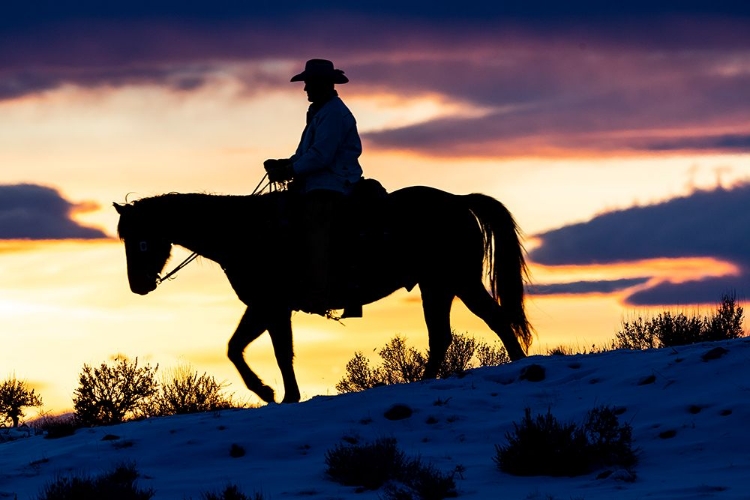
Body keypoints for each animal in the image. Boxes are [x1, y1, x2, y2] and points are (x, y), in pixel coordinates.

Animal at [113, 186, 536, 404]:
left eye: (141, 239)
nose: (138, 285)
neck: (246, 231)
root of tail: (459, 200)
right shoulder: (267, 307)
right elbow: (249, 348)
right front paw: (276, 393)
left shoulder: (270, 305)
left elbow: (266, 351)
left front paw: (274, 393)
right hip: (438, 287)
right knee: (441, 336)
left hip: (459, 282)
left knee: (495, 319)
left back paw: (519, 365)